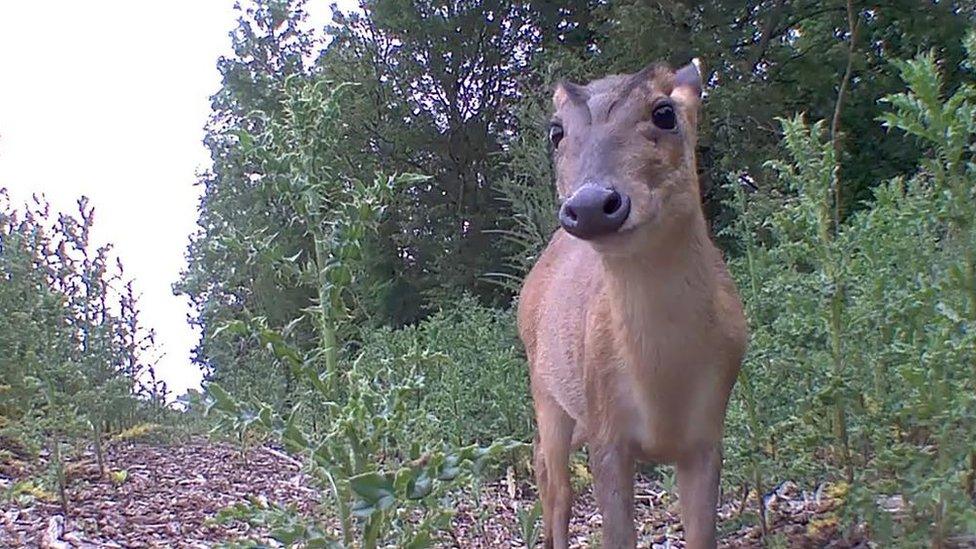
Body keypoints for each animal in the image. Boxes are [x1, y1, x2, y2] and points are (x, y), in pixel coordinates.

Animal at [520, 60, 748, 548]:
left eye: (664, 112)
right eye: (556, 132)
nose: (590, 205)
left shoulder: (708, 434)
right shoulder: (607, 429)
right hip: (545, 387)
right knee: (557, 481)